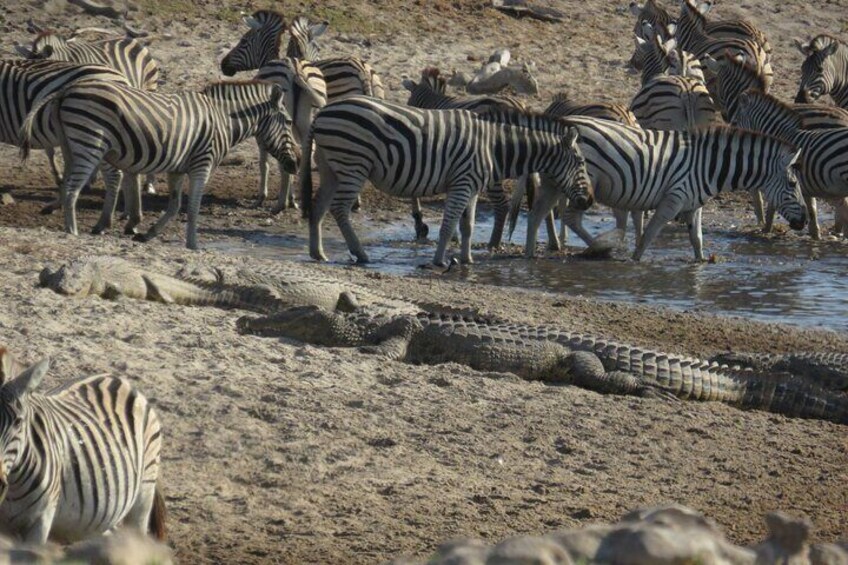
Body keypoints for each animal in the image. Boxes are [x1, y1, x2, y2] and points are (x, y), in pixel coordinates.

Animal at [21, 80, 299, 250]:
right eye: (287, 122)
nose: (296, 164)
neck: (224, 119)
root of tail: (66, 89)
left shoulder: (177, 168)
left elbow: (175, 206)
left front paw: (147, 234)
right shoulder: (203, 164)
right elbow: (194, 207)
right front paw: (193, 245)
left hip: (72, 146)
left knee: (67, 185)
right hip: (90, 143)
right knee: (72, 191)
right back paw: (73, 232)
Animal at [253, 57, 327, 213]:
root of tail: (295, 67)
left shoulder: (263, 134)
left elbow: (265, 164)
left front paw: (262, 197)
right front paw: (292, 199)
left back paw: (281, 204)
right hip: (309, 124)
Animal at [300, 96, 594, 266]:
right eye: (582, 163)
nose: (589, 200)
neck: (493, 145)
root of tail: (322, 112)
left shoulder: (471, 188)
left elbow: (468, 226)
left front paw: (467, 259)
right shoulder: (462, 183)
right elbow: (448, 223)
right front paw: (439, 261)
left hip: (331, 167)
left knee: (318, 206)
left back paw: (318, 253)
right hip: (354, 164)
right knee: (339, 209)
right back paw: (360, 254)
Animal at [523, 116, 806, 261]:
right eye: (793, 184)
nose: (803, 221)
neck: (708, 165)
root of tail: (563, 122)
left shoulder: (694, 204)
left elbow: (697, 240)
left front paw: (700, 265)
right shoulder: (673, 199)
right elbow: (648, 236)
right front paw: (635, 261)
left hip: (555, 181)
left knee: (537, 214)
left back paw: (528, 254)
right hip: (582, 182)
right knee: (570, 217)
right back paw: (601, 248)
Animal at [736, 90, 848, 241]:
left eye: (736, 121)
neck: (781, 135)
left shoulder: (786, 178)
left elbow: (774, 207)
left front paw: (765, 230)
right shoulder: (803, 186)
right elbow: (811, 213)